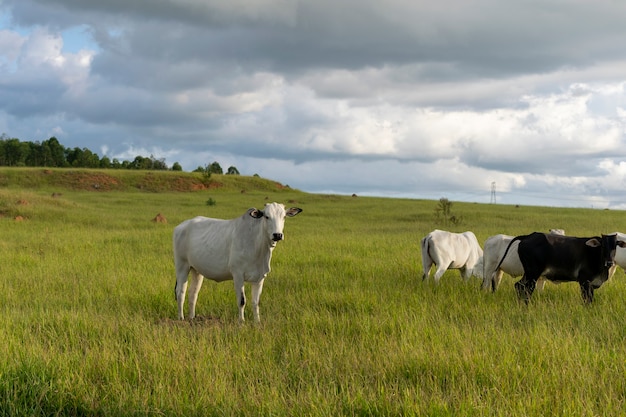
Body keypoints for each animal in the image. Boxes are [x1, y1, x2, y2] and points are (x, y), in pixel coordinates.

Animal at [173, 202, 302, 322]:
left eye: (284, 217)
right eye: (266, 216)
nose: (277, 235)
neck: (258, 247)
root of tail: (181, 226)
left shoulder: (260, 277)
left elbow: (256, 302)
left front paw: (257, 322)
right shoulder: (238, 275)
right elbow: (241, 301)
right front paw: (241, 321)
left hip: (197, 270)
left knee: (193, 293)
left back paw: (192, 318)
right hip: (182, 266)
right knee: (180, 292)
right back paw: (181, 318)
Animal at [492, 231, 624, 302]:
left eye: (615, 245)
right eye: (603, 246)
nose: (610, 262)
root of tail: (529, 236)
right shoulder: (584, 281)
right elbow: (587, 300)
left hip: (529, 273)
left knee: (519, 286)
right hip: (533, 273)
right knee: (525, 288)